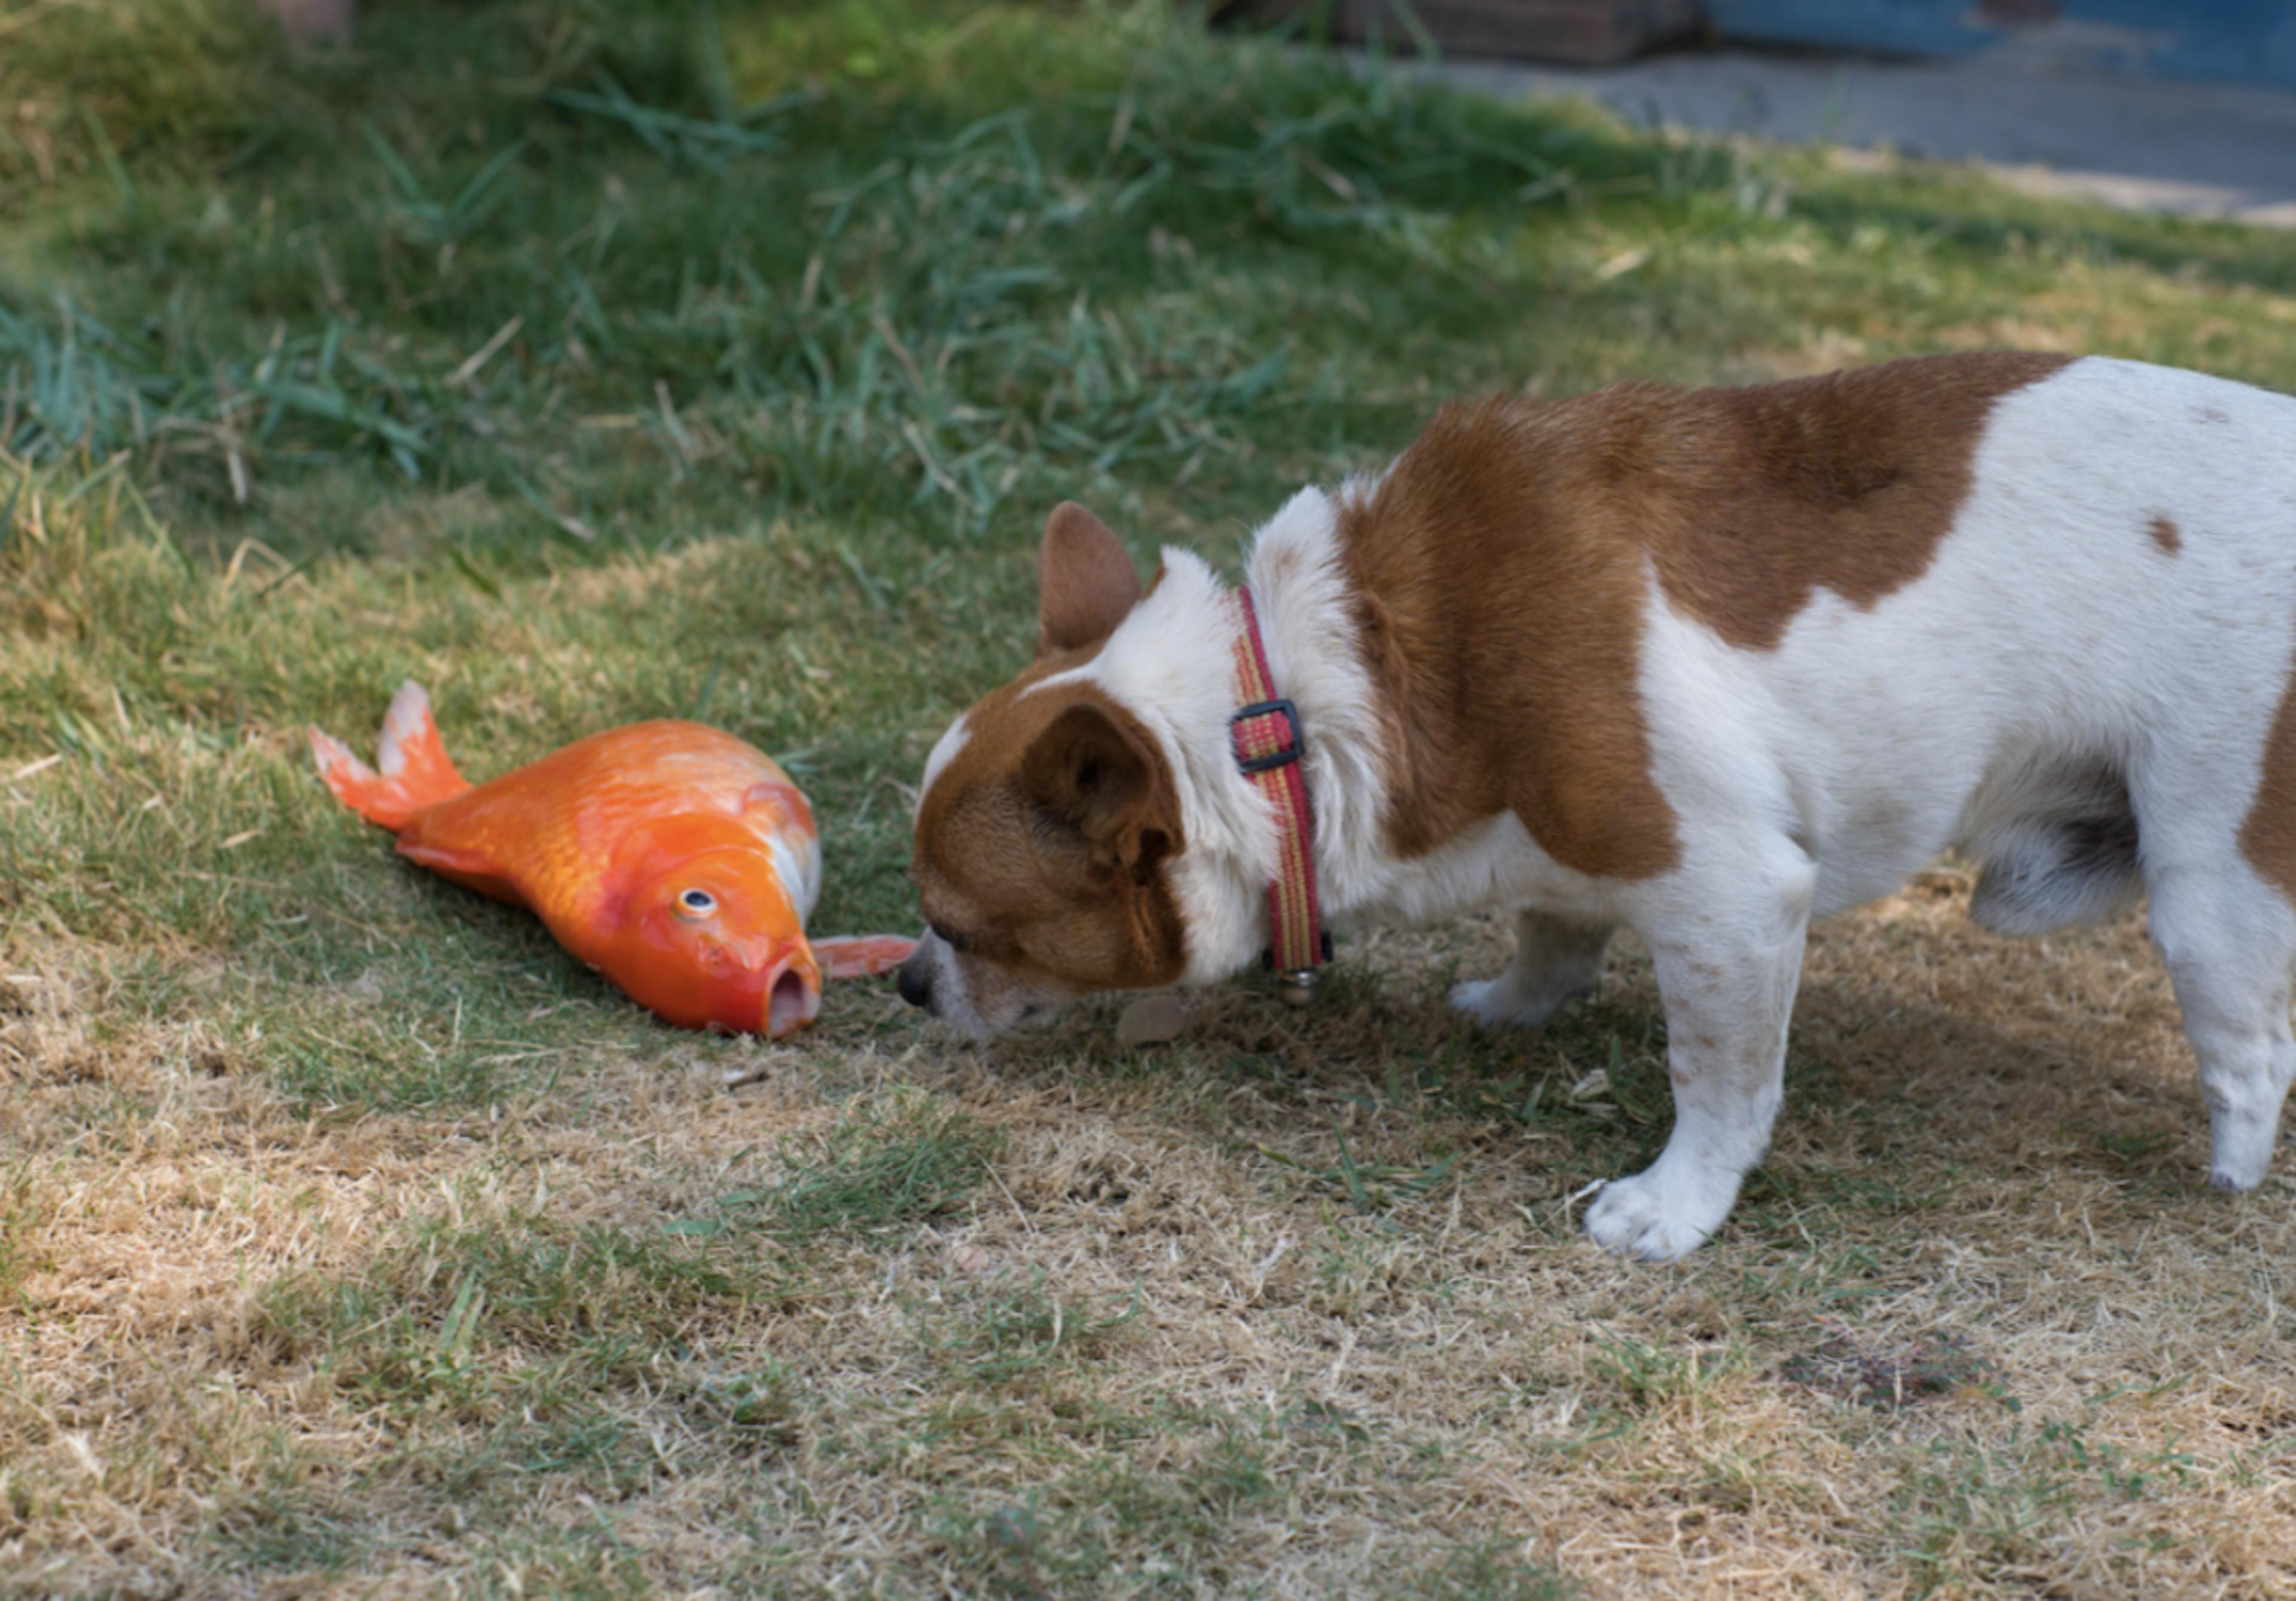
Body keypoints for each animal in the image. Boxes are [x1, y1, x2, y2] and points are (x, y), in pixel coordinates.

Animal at [895, 353, 2296, 1258]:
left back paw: (2226, 1180)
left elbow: (1719, 1080)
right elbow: (1555, 924)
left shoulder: (1733, 904)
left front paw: (1672, 1207)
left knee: (2252, 1053)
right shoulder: (1568, 850)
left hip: (2209, 882)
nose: (908, 982)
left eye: (963, 929)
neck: (1296, 706)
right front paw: (1521, 1000)